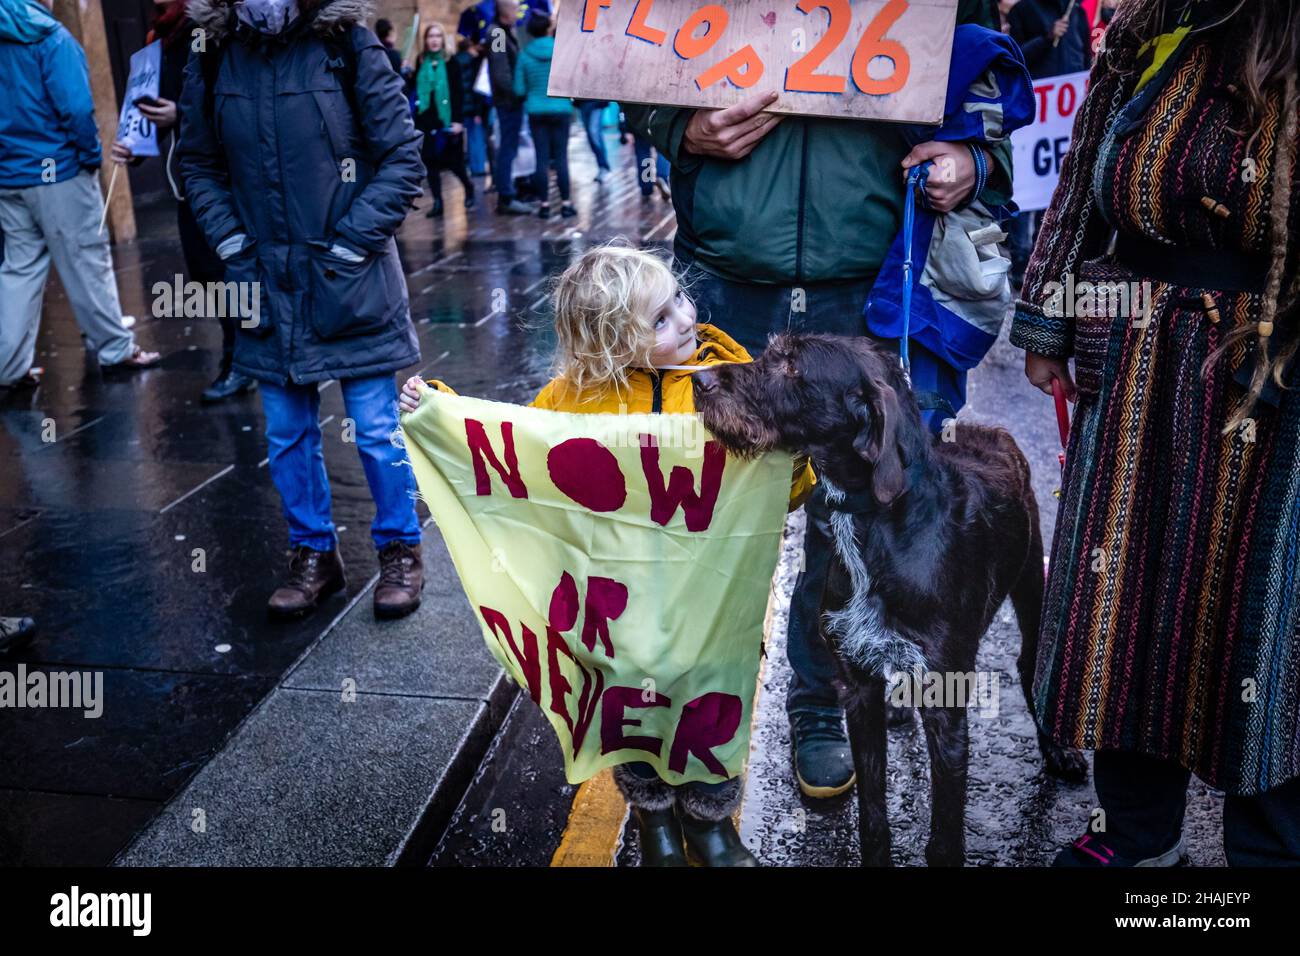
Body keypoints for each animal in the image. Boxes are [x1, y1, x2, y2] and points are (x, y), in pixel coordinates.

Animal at [691, 335, 1086, 868]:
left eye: (793, 365)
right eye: (773, 349)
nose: (700, 379)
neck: (876, 522)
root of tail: (993, 431)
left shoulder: (946, 703)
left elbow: (944, 833)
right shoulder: (858, 687)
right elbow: (872, 807)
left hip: (1031, 578)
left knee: (1030, 663)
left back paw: (1058, 751)